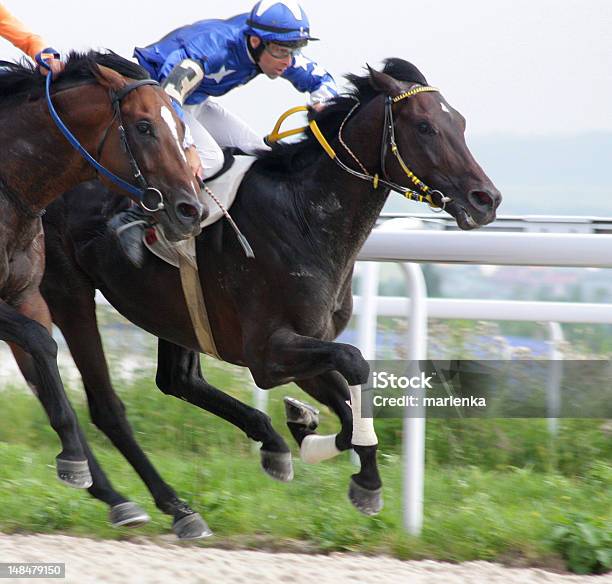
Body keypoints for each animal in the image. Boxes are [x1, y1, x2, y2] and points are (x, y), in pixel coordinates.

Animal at [0, 52, 206, 492]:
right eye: (144, 126)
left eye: (182, 128)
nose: (191, 210)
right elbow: (42, 343)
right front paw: (75, 457)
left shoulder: (26, 295)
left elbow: (43, 359)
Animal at [39, 58, 502, 540]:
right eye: (426, 126)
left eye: (460, 123)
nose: (486, 199)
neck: (303, 216)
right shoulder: (267, 353)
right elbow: (355, 363)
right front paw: (357, 472)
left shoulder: (305, 343)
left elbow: (347, 406)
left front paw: (310, 434)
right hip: (66, 290)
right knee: (91, 395)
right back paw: (143, 499)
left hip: (172, 317)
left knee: (176, 380)